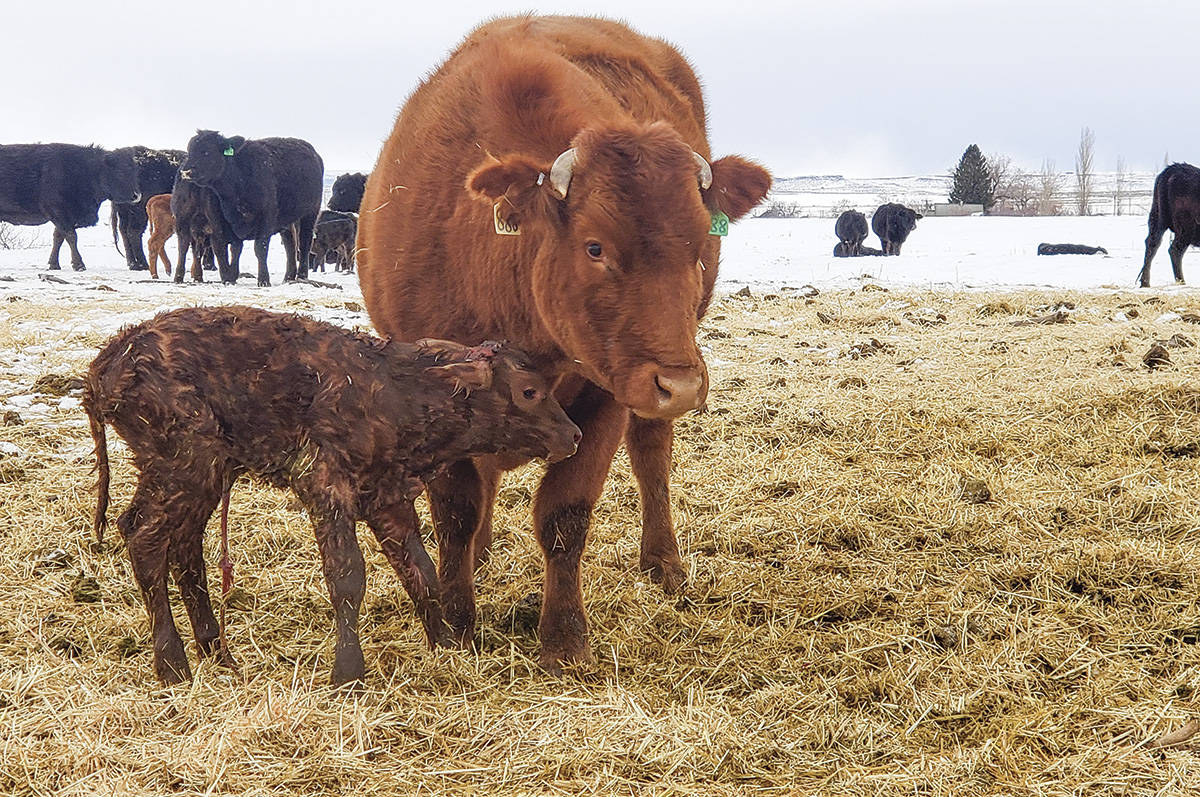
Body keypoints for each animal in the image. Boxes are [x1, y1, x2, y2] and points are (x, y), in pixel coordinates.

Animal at [0, 146, 140, 273]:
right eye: (120, 171)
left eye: (135, 171)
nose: (136, 195)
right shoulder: (58, 212)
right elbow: (71, 236)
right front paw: (79, 265)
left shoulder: (66, 218)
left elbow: (58, 237)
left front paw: (54, 265)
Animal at [82, 304, 578, 686]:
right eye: (530, 391)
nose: (573, 436)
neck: (399, 395)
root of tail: (106, 364)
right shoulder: (324, 482)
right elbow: (347, 575)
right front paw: (348, 671)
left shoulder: (388, 497)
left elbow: (421, 573)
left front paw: (444, 648)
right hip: (182, 464)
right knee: (145, 537)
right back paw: (172, 663)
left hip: (203, 473)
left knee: (184, 545)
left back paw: (216, 650)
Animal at [175, 132, 321, 288]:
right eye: (190, 150)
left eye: (206, 151)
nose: (185, 172)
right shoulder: (230, 221)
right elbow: (235, 248)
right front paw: (231, 276)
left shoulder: (266, 219)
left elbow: (260, 248)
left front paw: (263, 280)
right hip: (287, 218)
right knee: (290, 243)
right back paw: (288, 277)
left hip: (311, 212)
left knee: (305, 242)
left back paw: (302, 275)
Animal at [352, 14, 768, 672]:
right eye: (595, 246)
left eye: (702, 243)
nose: (680, 384)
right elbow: (456, 510)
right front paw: (456, 624)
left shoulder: (607, 394)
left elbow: (565, 514)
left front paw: (564, 638)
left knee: (652, 455)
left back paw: (664, 562)